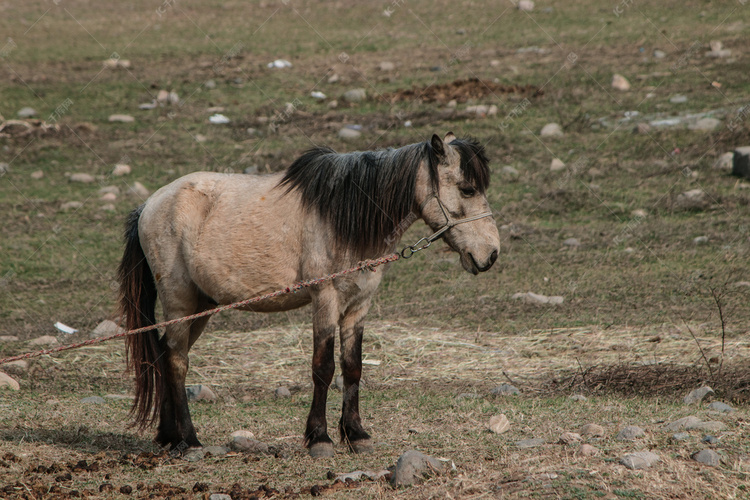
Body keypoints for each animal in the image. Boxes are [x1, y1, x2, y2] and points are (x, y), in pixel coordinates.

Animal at [120, 132, 502, 458]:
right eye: (467, 189)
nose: (491, 254)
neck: (343, 217)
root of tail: (149, 205)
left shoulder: (359, 305)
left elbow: (352, 367)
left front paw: (356, 435)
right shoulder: (325, 299)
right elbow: (323, 367)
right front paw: (320, 438)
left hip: (201, 306)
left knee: (164, 355)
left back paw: (169, 436)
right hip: (180, 300)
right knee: (176, 361)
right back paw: (189, 440)